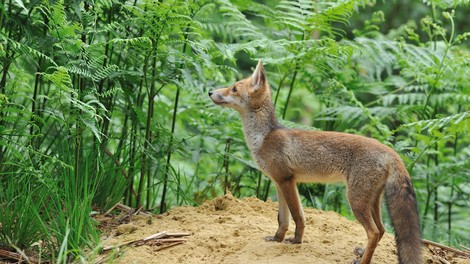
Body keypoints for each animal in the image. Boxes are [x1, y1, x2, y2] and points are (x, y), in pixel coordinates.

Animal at [209, 60, 422, 264]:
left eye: (234, 89)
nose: (210, 92)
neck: (264, 137)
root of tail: (390, 151)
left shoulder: (287, 181)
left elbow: (298, 216)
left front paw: (296, 241)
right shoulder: (278, 183)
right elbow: (282, 219)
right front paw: (277, 239)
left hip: (355, 200)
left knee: (374, 232)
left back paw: (363, 261)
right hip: (371, 200)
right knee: (383, 229)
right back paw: (362, 254)